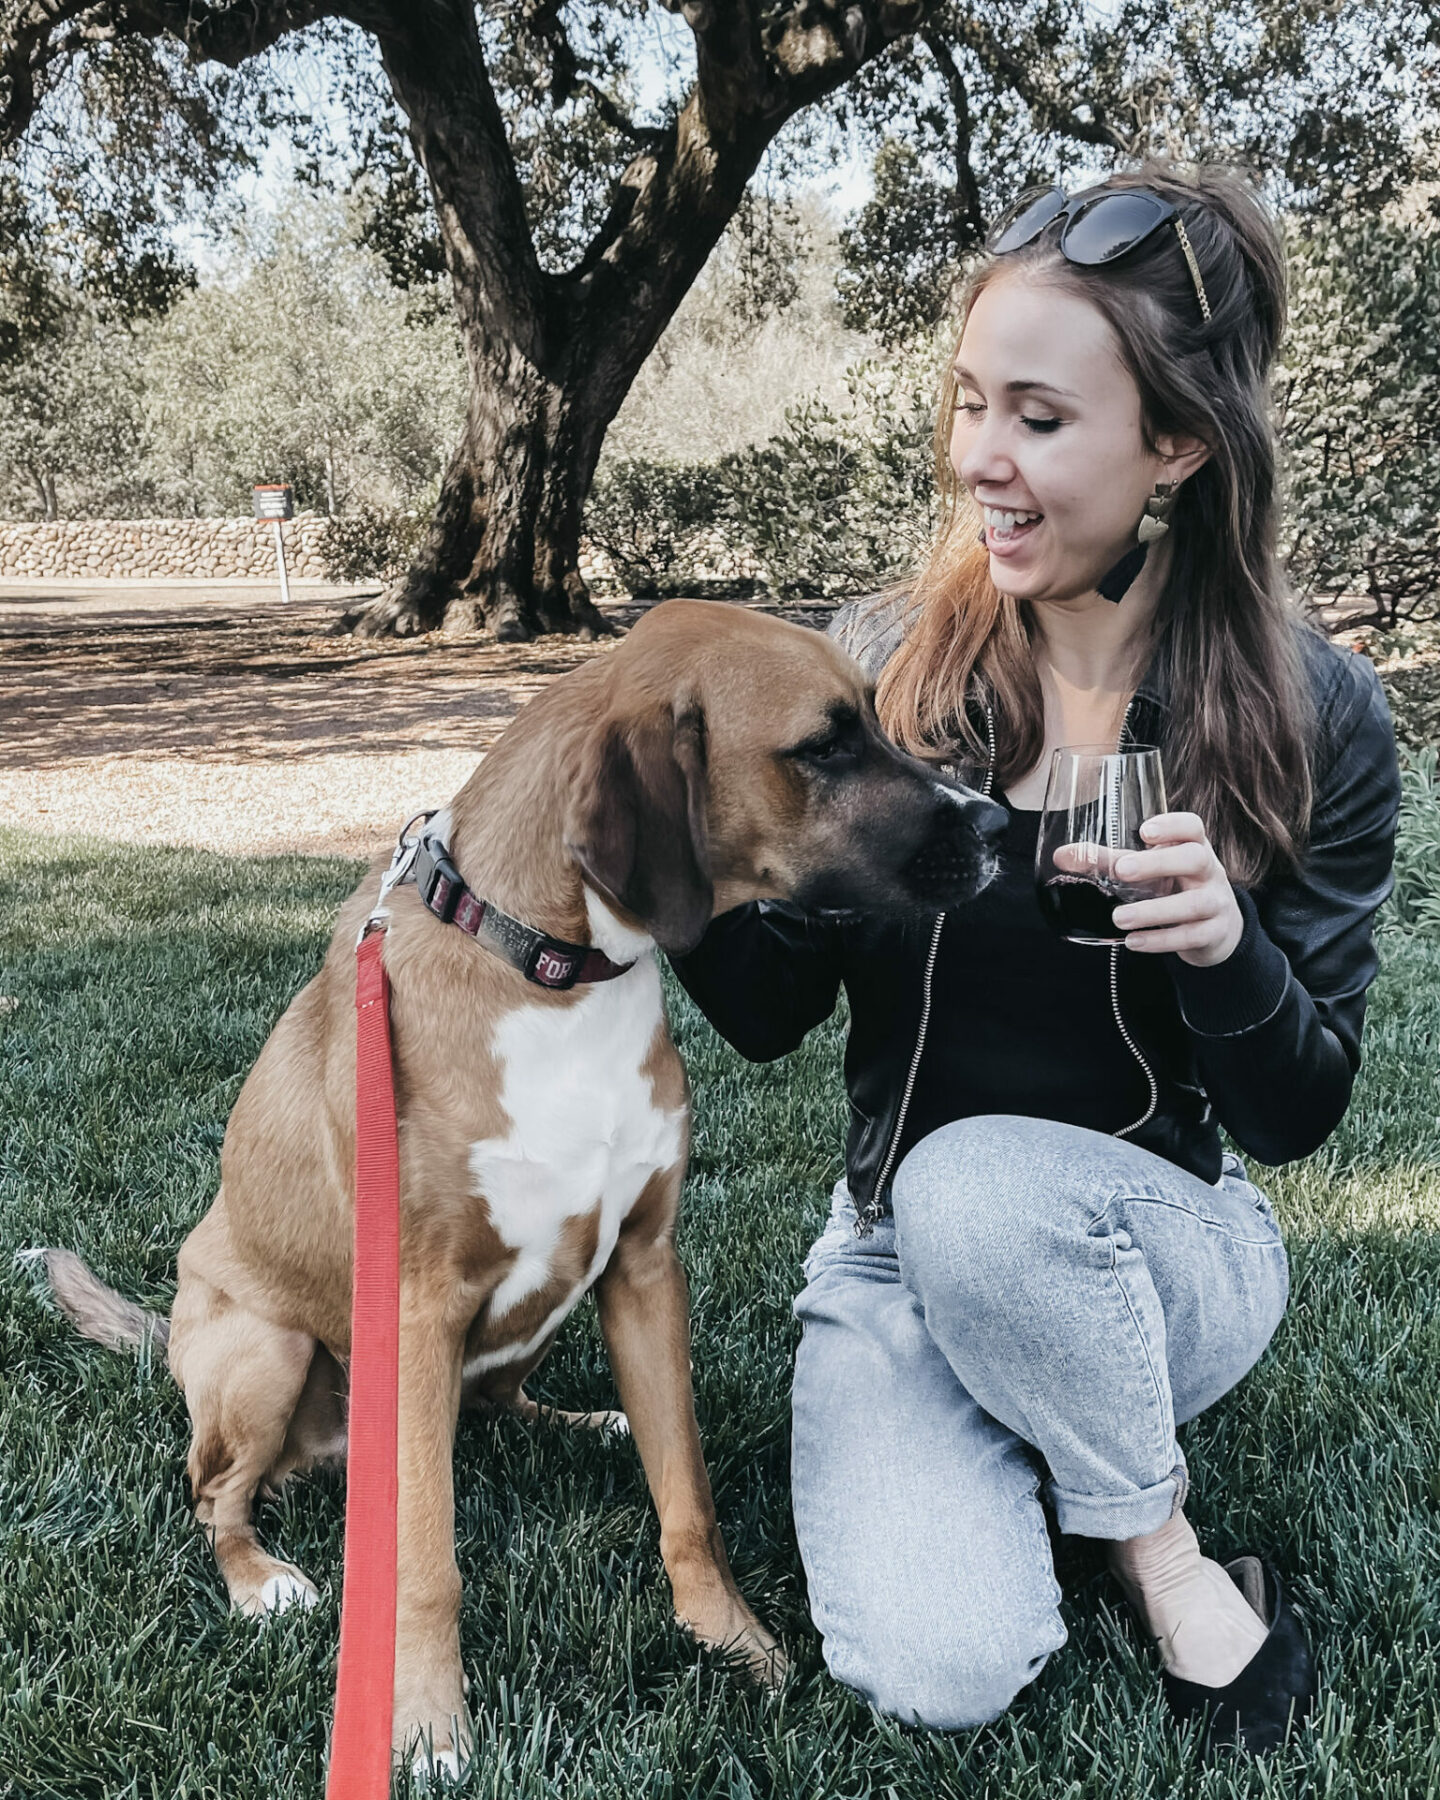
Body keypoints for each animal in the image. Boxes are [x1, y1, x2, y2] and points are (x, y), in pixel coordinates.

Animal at [39, 601, 1008, 1771]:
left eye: (873, 718)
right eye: (823, 745)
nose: (999, 827)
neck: (552, 972)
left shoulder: (642, 1266)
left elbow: (689, 1504)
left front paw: (732, 1642)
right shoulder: (419, 1306)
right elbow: (423, 1560)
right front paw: (424, 1722)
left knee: (499, 1403)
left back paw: (588, 1421)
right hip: (266, 1355)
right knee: (213, 1494)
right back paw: (261, 1580)